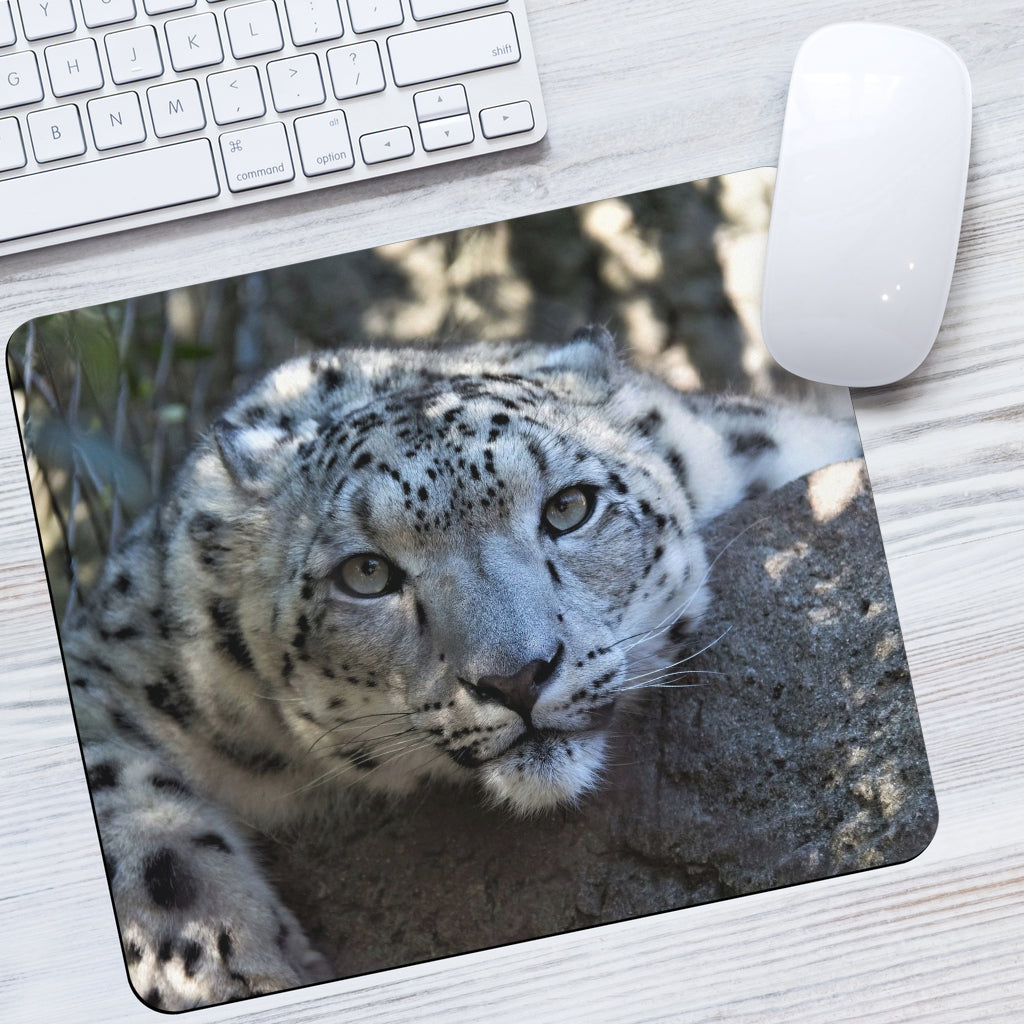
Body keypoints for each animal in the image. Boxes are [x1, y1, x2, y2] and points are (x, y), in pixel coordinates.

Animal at [61, 326, 861, 1010]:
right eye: (367, 574)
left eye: (570, 507)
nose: (517, 677)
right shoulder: (111, 668)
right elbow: (139, 828)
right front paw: (229, 970)